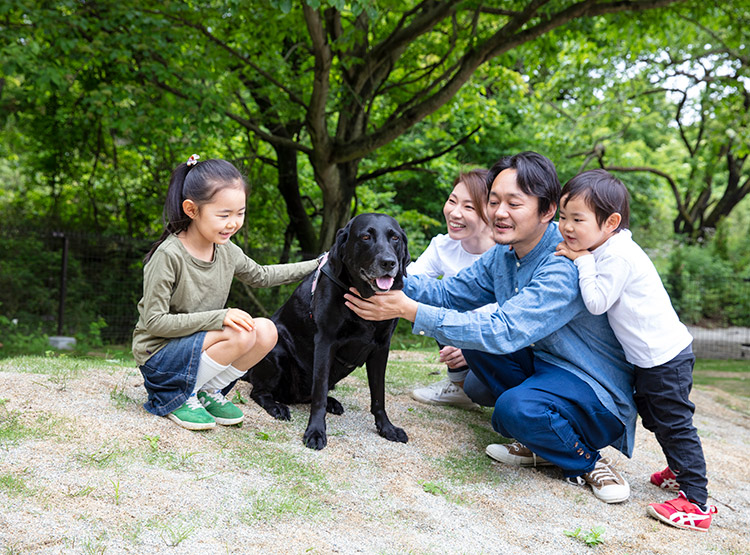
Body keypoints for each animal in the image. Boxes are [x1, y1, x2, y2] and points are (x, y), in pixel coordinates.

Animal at [242, 213, 412, 452]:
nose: (389, 263)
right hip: (276, 350)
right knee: (259, 391)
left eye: (395, 237)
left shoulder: (382, 348)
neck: (363, 295)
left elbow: (379, 395)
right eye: (366, 237)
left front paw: (387, 428)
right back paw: (277, 407)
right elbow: (320, 393)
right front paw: (315, 432)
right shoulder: (325, 342)